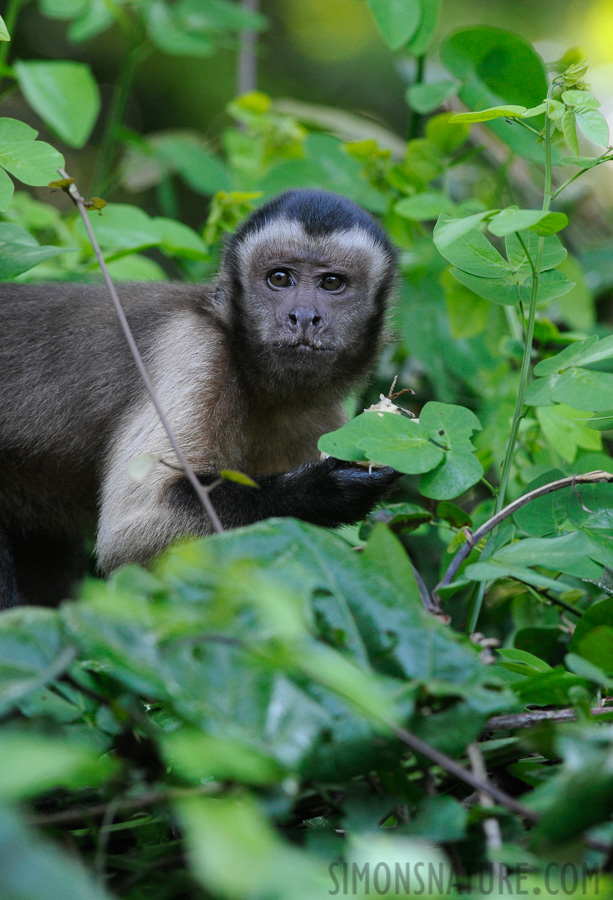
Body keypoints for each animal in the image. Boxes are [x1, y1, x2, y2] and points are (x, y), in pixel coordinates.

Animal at [0, 192, 400, 608]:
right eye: (279, 278)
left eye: (332, 283)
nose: (303, 316)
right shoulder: (194, 346)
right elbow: (131, 531)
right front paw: (325, 490)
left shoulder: (324, 419)